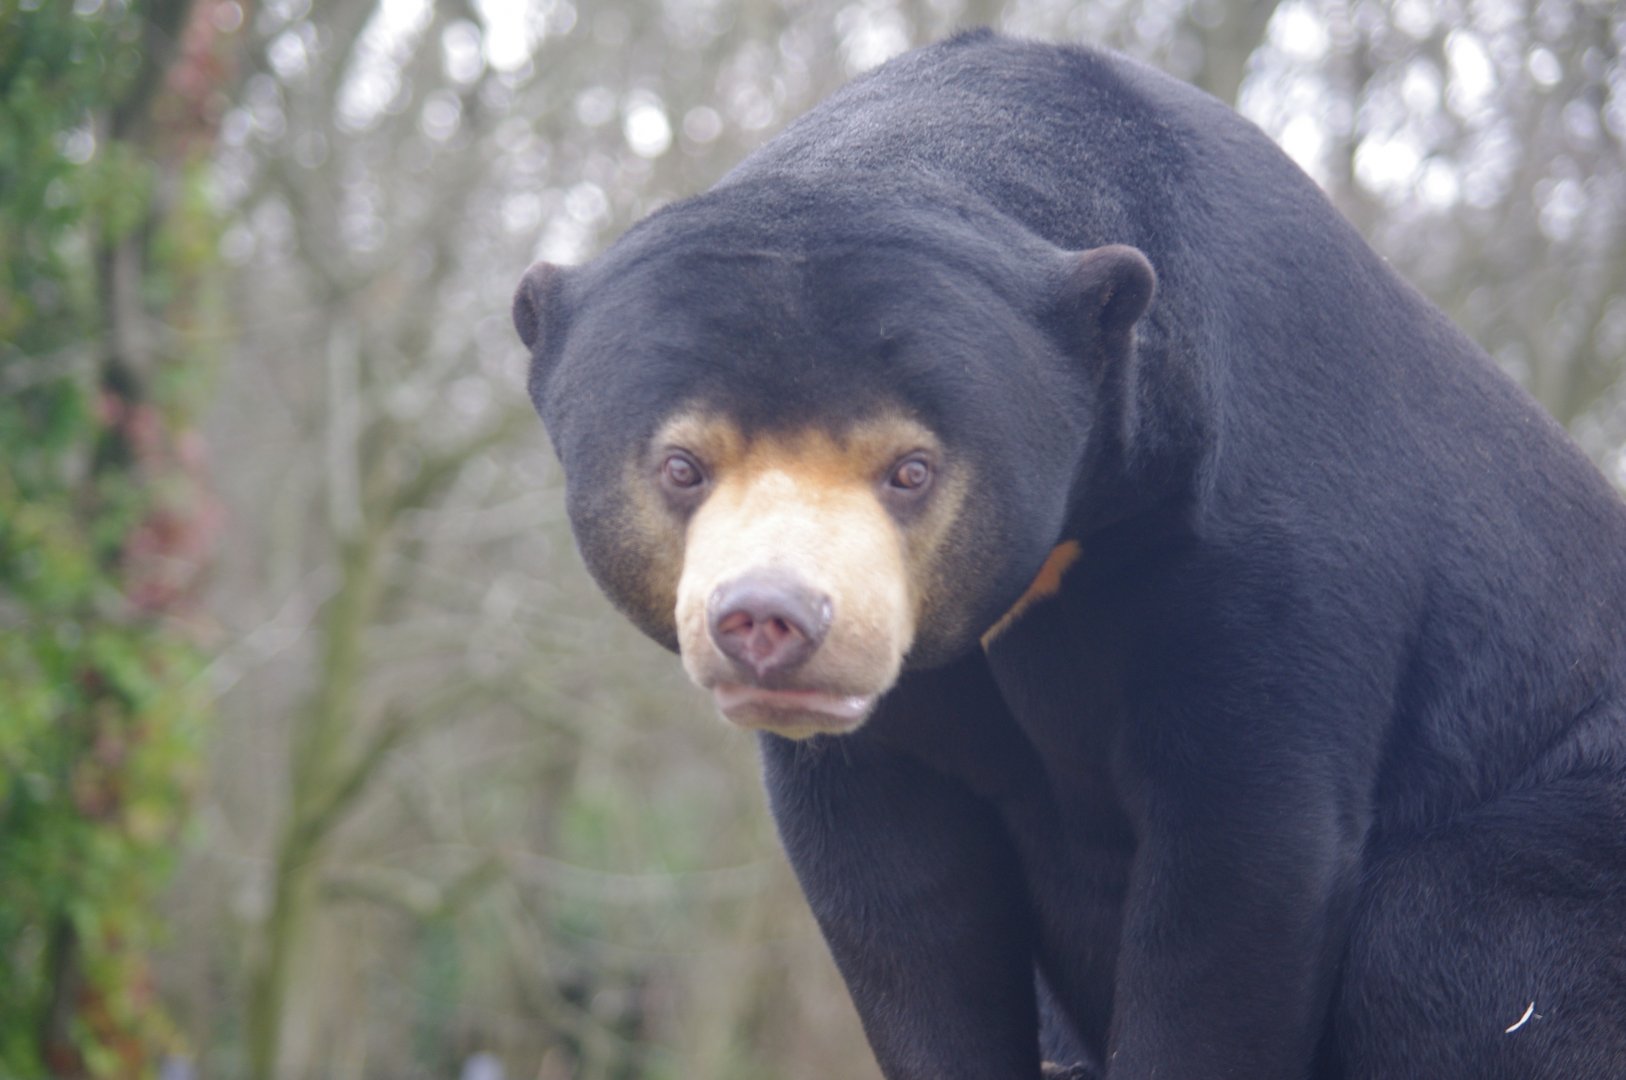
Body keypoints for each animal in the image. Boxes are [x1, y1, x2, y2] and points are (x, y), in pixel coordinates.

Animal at [512, 30, 1626, 1080]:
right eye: (684, 466)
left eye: (911, 469)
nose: (770, 621)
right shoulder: (887, 739)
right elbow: (899, 899)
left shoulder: (1267, 543)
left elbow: (1247, 857)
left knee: (1452, 925)